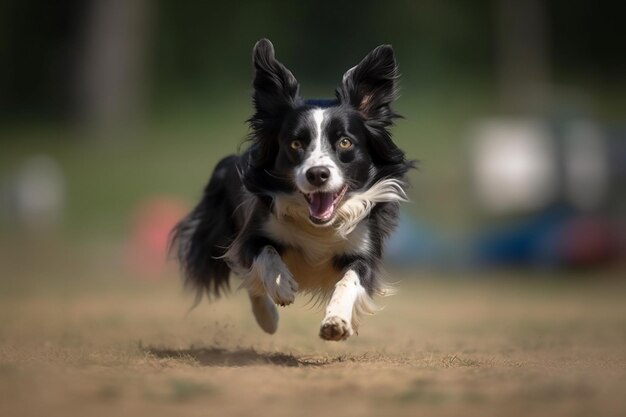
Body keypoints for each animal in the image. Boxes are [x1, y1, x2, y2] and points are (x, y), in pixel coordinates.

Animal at [173, 37, 412, 340]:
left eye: (345, 142)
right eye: (296, 143)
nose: (317, 174)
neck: (319, 228)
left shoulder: (364, 249)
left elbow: (351, 280)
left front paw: (336, 322)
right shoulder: (252, 231)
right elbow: (264, 253)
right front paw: (281, 285)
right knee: (250, 281)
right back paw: (268, 318)